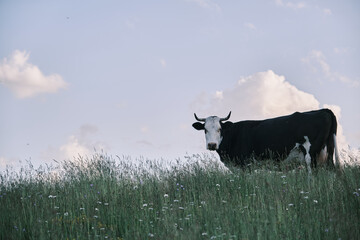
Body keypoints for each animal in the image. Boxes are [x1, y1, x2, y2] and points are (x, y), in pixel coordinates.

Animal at [191, 109, 340, 172]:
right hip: (328, 151)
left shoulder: (245, 164)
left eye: (219, 129)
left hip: (311, 153)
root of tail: (324, 110)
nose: (212, 145)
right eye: (205, 129)